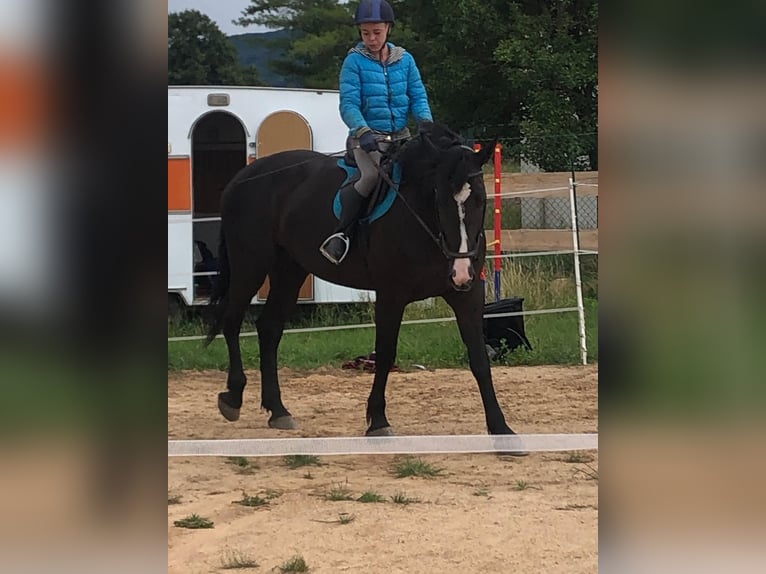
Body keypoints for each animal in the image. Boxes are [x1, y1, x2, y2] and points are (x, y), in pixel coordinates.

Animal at [205, 122, 520, 439]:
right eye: (438, 197)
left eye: (478, 198)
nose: (461, 269)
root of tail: (241, 178)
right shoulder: (391, 294)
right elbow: (385, 353)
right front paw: (378, 420)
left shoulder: (467, 295)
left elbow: (479, 357)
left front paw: (501, 427)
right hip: (250, 265)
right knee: (232, 320)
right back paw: (233, 398)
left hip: (290, 270)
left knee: (269, 329)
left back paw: (278, 411)